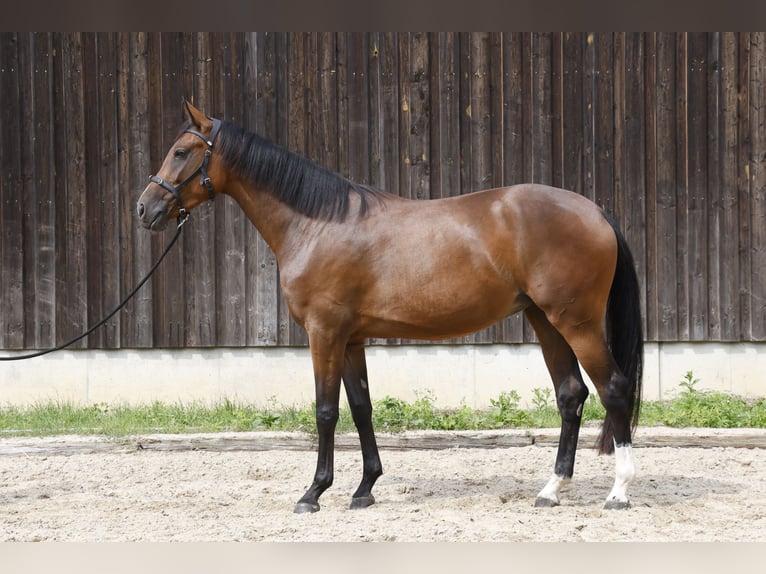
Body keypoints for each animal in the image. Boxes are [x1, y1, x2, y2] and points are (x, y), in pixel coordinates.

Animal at [136, 101, 640, 516]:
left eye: (181, 152)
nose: (144, 208)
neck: (318, 223)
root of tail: (595, 212)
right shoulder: (351, 339)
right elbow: (362, 408)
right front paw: (364, 489)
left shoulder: (324, 333)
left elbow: (325, 410)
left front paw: (313, 493)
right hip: (545, 320)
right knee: (571, 395)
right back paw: (551, 490)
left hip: (577, 323)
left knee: (614, 388)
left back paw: (619, 492)